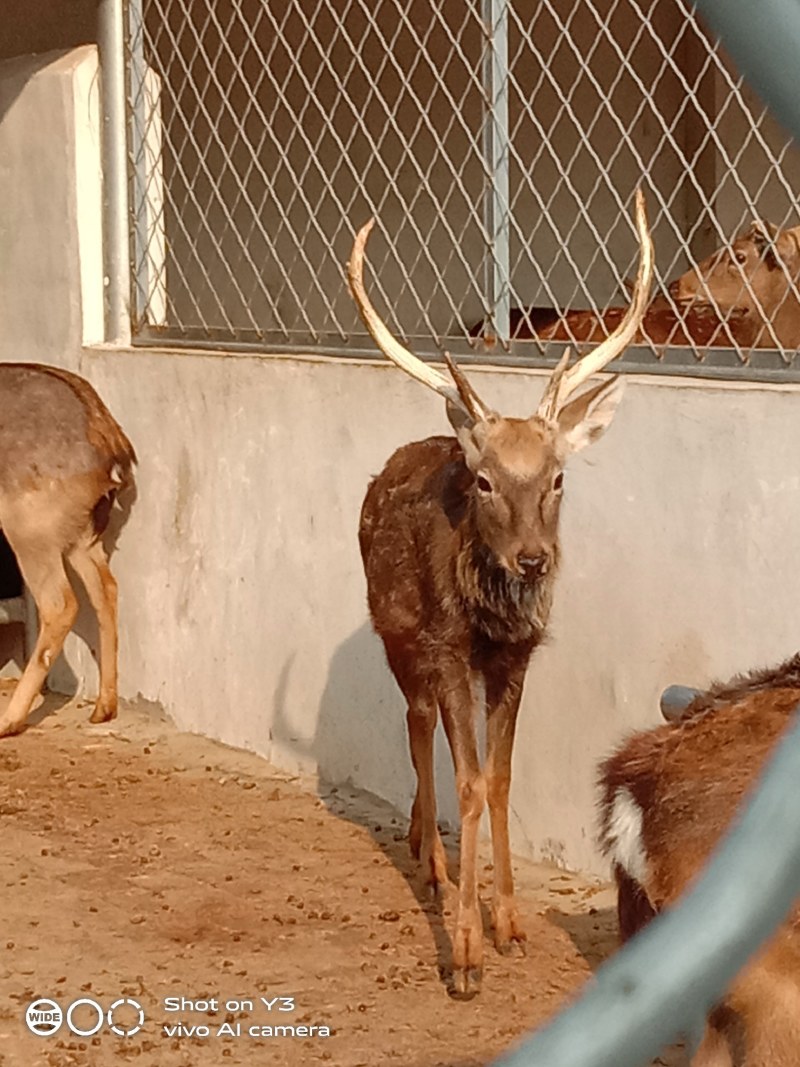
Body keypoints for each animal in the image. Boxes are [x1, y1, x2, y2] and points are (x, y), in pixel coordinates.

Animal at [0, 363, 136, 737]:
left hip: (30, 531)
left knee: (60, 604)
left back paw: (9, 720)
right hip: (81, 536)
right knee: (106, 588)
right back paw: (104, 707)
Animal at [348, 188, 654, 997]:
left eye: (557, 477)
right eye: (485, 482)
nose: (533, 559)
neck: (489, 622)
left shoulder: (516, 660)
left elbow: (504, 777)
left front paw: (511, 926)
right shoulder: (451, 650)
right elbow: (470, 781)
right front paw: (463, 956)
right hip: (396, 634)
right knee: (417, 721)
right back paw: (432, 861)